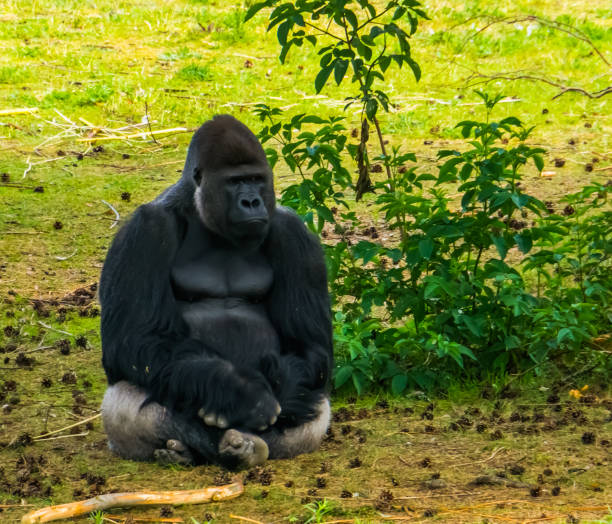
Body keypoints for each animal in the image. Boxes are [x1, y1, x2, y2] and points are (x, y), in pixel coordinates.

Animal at [98, 115, 332, 470]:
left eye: (256, 179)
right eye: (235, 182)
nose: (252, 201)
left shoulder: (295, 235)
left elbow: (310, 347)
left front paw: (277, 388)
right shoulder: (145, 230)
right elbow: (132, 339)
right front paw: (237, 391)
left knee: (315, 405)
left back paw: (246, 447)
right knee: (124, 401)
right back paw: (187, 449)